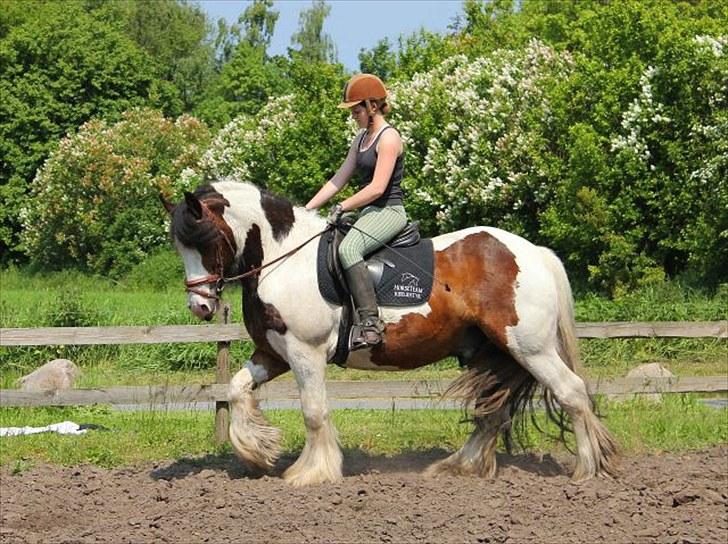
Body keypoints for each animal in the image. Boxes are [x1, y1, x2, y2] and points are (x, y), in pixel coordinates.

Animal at [162, 181, 616, 486]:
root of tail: (533, 253)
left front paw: (311, 472)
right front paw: (257, 453)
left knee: (572, 393)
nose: (200, 306)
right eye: (179, 247)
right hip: (497, 351)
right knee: (494, 410)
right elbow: (237, 390)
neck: (283, 258)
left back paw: (586, 469)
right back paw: (458, 466)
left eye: (205, 239)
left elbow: (314, 412)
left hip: (530, 348)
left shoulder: (305, 352)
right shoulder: (275, 353)